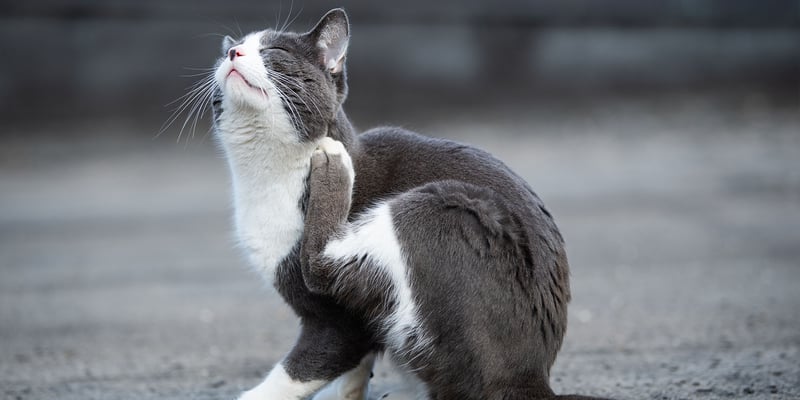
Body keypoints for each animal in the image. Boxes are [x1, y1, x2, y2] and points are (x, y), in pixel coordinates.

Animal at [206, 7, 608, 400]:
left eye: (275, 51)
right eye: (230, 50)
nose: (233, 52)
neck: (267, 177)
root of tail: (531, 376)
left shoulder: (338, 323)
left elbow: (306, 365)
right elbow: (352, 369)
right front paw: (350, 392)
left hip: (442, 206)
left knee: (322, 263)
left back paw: (334, 165)